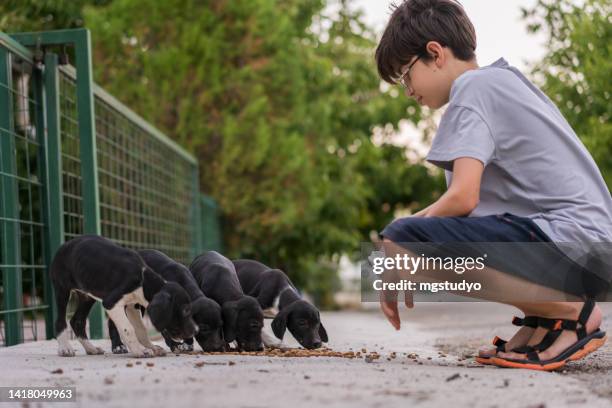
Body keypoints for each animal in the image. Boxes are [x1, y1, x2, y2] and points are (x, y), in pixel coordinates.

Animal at [51, 236, 198, 356]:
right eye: (186, 311)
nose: (196, 330)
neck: (143, 281)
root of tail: (64, 244)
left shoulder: (132, 306)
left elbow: (141, 329)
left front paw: (151, 347)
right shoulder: (111, 303)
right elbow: (128, 328)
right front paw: (140, 351)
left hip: (87, 296)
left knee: (77, 321)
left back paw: (91, 349)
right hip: (62, 290)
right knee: (61, 320)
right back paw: (65, 348)